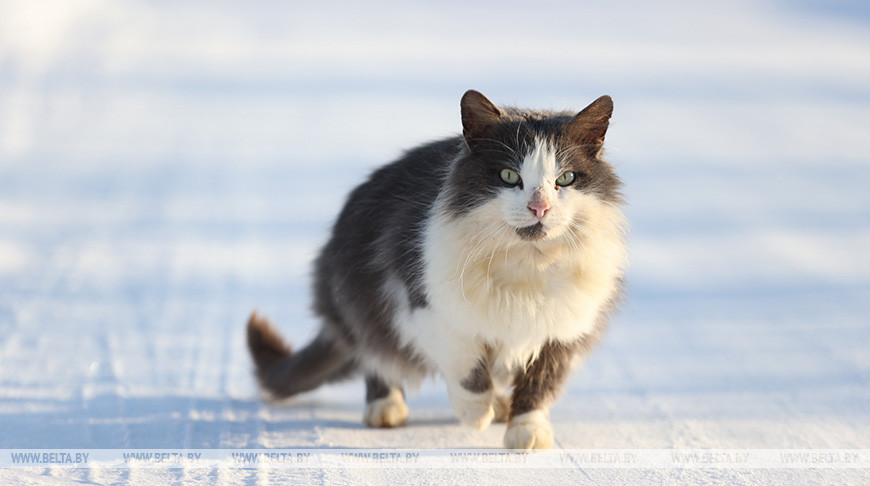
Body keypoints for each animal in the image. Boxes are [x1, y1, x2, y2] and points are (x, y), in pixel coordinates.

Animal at [249, 90, 632, 448]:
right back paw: (386, 407)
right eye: (509, 176)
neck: (527, 265)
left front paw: (527, 430)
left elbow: (540, 385)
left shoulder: (565, 328)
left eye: (565, 179)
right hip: (357, 294)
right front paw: (475, 412)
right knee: (375, 353)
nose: (539, 207)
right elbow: (465, 364)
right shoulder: (422, 304)